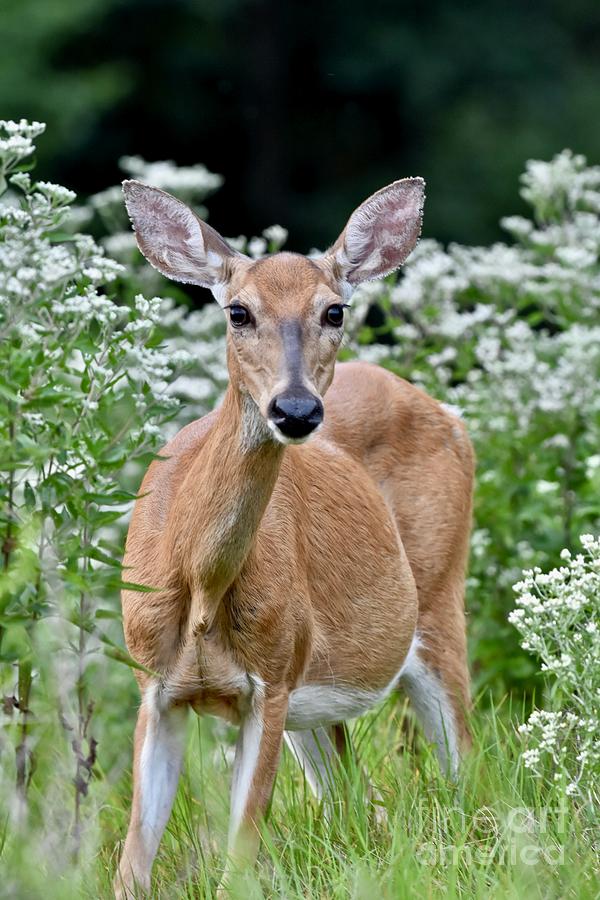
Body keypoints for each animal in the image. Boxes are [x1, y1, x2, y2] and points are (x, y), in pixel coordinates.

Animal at [116, 178, 474, 900]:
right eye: (238, 312)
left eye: (334, 310)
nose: (297, 410)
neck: (201, 587)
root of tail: (448, 413)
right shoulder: (154, 685)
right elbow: (131, 866)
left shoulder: (271, 681)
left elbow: (238, 859)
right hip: (318, 696)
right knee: (356, 802)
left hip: (438, 602)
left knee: (471, 779)